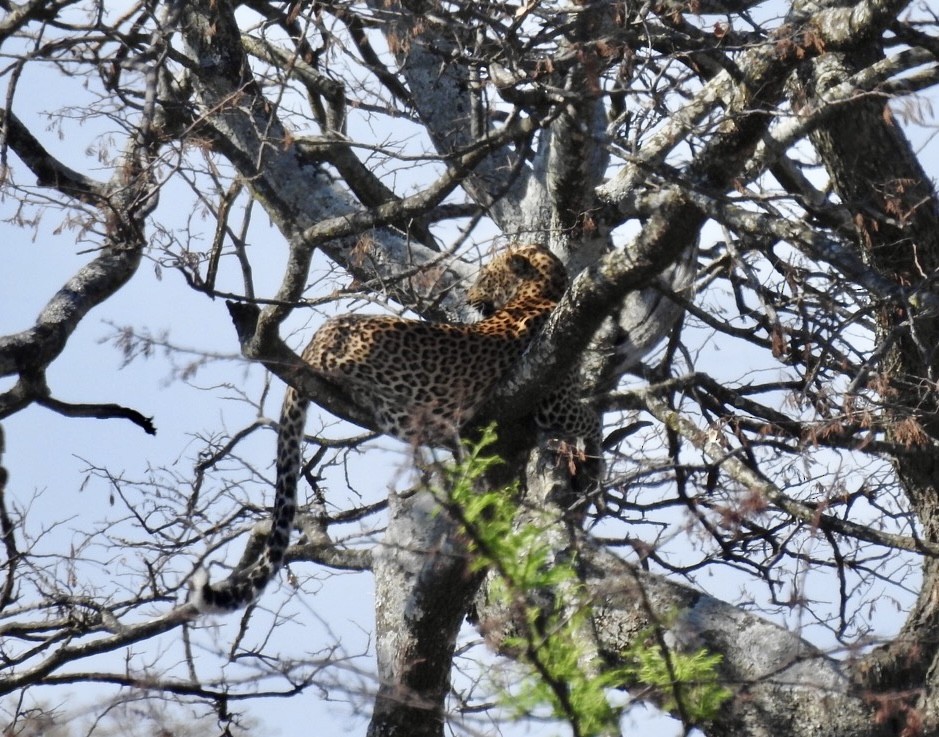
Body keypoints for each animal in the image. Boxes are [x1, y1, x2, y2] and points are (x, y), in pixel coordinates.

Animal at [191, 243, 598, 613]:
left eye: (485, 278)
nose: (469, 297)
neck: (543, 292)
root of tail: (319, 337)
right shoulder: (553, 399)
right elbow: (589, 418)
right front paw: (594, 458)